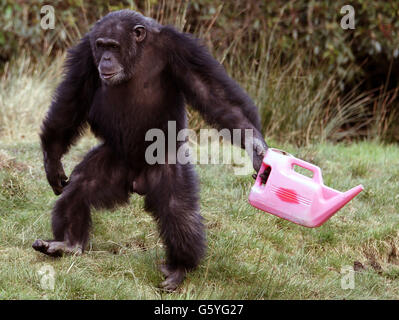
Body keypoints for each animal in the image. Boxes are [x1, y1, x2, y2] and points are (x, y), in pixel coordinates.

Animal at [32, 9, 268, 290]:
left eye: (113, 46)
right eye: (101, 46)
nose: (106, 58)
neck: (138, 55)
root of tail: (136, 180)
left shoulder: (182, 49)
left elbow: (213, 94)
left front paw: (255, 146)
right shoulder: (84, 54)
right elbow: (73, 99)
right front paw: (52, 160)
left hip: (164, 165)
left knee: (177, 209)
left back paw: (179, 267)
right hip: (114, 161)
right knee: (79, 187)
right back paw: (68, 243)